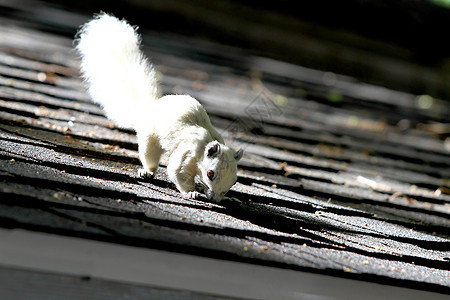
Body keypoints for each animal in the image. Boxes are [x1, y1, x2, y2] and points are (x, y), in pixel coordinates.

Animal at [75, 13, 243, 202]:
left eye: (234, 181)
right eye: (210, 173)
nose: (215, 199)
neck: (204, 146)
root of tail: (150, 108)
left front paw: (227, 198)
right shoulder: (187, 153)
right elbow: (178, 172)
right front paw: (191, 192)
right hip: (150, 139)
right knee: (150, 156)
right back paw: (147, 172)